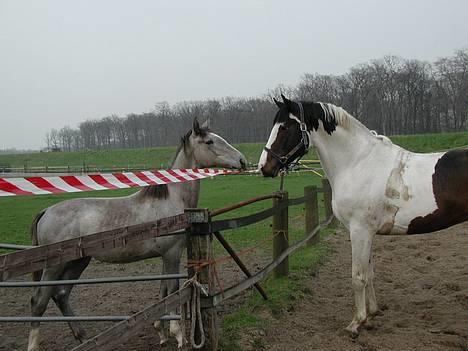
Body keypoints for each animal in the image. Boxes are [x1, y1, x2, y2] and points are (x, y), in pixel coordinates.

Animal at [27, 119, 247, 351]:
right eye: (209, 141)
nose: (242, 160)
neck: (171, 199)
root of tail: (46, 211)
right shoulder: (172, 254)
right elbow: (173, 291)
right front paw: (178, 335)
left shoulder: (165, 256)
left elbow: (163, 292)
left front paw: (161, 332)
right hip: (54, 267)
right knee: (39, 300)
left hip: (77, 262)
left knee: (60, 294)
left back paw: (84, 337)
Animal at [258, 95, 466, 336]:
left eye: (285, 127)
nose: (264, 167)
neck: (357, 163)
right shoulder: (367, 233)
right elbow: (370, 273)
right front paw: (372, 314)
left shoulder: (360, 231)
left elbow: (358, 277)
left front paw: (356, 323)